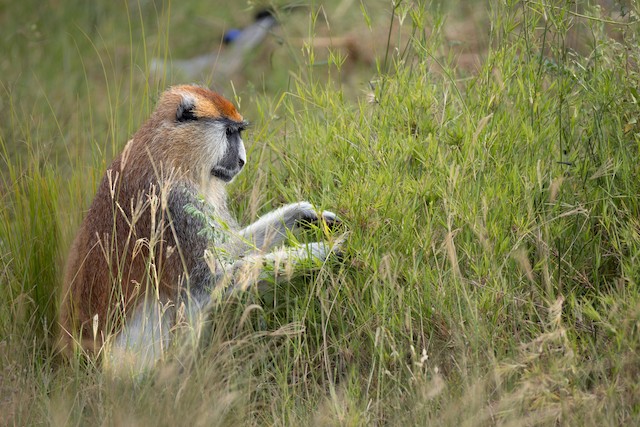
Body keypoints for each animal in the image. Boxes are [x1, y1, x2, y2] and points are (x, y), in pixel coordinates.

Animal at [58, 85, 342, 371]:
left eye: (238, 132)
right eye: (228, 133)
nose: (242, 160)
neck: (170, 153)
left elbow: (230, 248)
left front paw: (303, 214)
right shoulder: (173, 204)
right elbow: (208, 281)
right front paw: (324, 251)